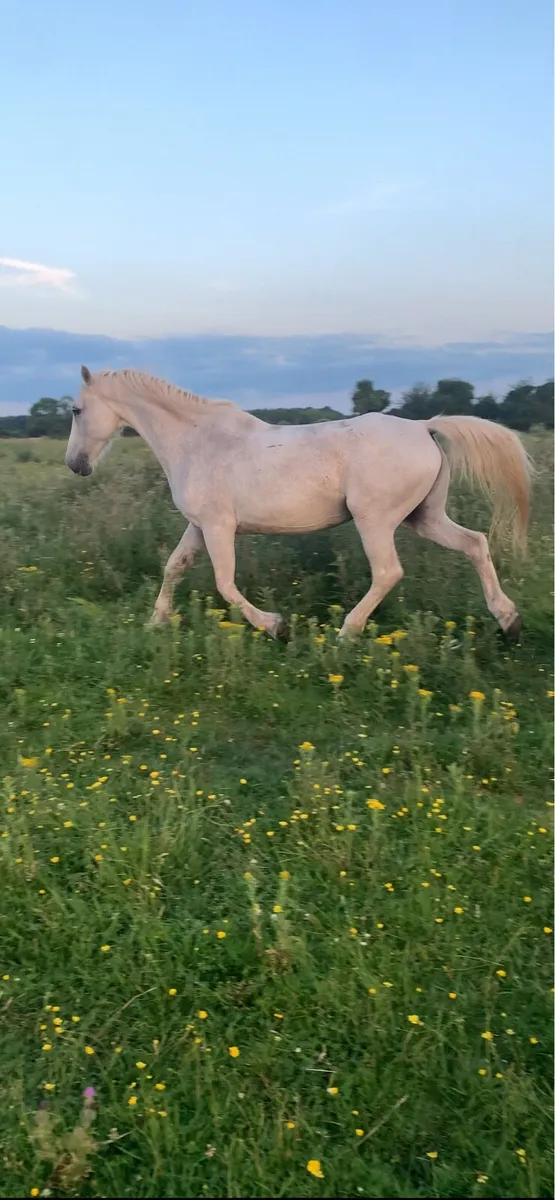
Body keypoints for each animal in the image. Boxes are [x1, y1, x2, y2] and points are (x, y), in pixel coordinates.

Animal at [65, 365, 532, 642]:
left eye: (76, 410)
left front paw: (277, 627)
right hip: (425, 517)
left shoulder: (219, 527)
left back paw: (347, 632)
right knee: (475, 544)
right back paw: (508, 620)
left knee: (388, 572)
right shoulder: (198, 526)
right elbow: (174, 567)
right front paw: (156, 621)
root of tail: (424, 427)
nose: (75, 464)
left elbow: (225, 584)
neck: (197, 442)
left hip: (375, 520)